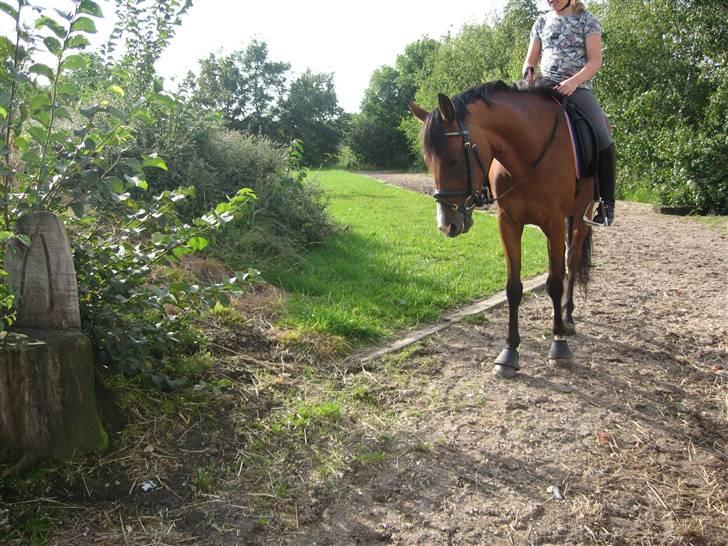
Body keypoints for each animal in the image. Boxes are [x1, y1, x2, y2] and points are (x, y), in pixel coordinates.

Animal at [406, 81, 596, 378]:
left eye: (454, 159)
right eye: (428, 160)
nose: (446, 225)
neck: (528, 155)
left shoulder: (553, 224)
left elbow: (554, 283)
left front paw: (558, 345)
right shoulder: (508, 224)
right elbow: (513, 289)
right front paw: (509, 352)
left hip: (582, 215)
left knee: (572, 260)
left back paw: (567, 317)